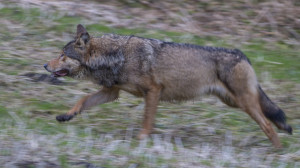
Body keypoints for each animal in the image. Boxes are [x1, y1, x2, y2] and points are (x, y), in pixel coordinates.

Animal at [43, 24, 292, 148]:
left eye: (62, 55)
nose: (45, 64)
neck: (117, 55)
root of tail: (243, 55)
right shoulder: (111, 92)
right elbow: (82, 100)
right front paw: (66, 116)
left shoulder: (153, 91)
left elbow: (147, 121)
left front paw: (141, 141)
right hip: (234, 102)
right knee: (272, 118)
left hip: (243, 103)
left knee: (268, 125)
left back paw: (277, 153)